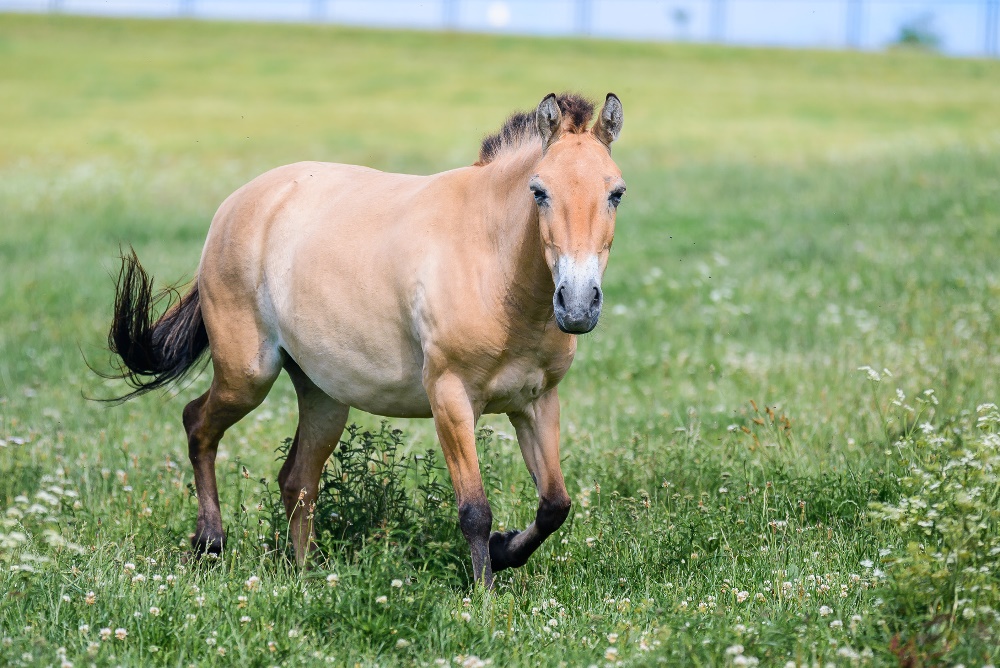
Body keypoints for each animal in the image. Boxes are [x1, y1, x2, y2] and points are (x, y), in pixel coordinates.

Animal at [107, 92, 624, 584]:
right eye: (539, 191)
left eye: (616, 193)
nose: (578, 304)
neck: (491, 261)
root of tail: (237, 205)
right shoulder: (451, 398)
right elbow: (475, 511)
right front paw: (484, 592)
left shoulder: (536, 402)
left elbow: (555, 505)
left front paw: (504, 550)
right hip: (247, 376)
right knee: (198, 424)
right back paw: (211, 542)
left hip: (323, 396)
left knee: (297, 479)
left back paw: (307, 575)